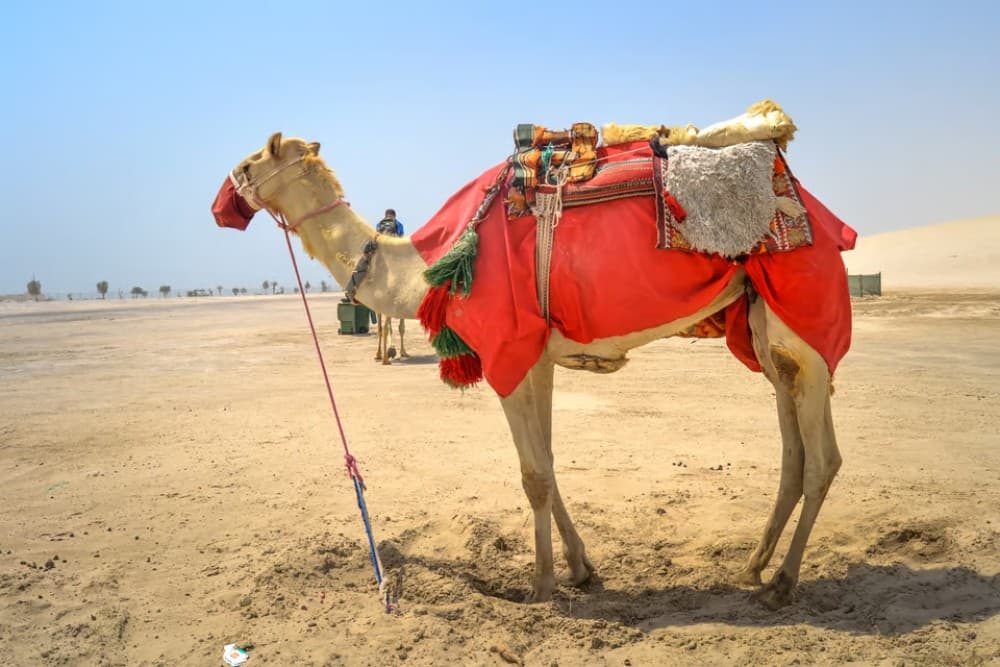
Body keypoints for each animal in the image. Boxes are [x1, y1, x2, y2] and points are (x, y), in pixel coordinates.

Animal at [218, 132, 844, 610]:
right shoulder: (537, 357)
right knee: (793, 452)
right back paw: (753, 567)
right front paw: (580, 568)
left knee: (823, 460)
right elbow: (548, 463)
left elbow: (534, 475)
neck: (425, 266)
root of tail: (816, 211)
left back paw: (782, 584)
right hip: (766, 331)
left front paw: (540, 586)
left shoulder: (509, 352)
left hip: (803, 324)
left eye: (250, 164)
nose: (220, 203)